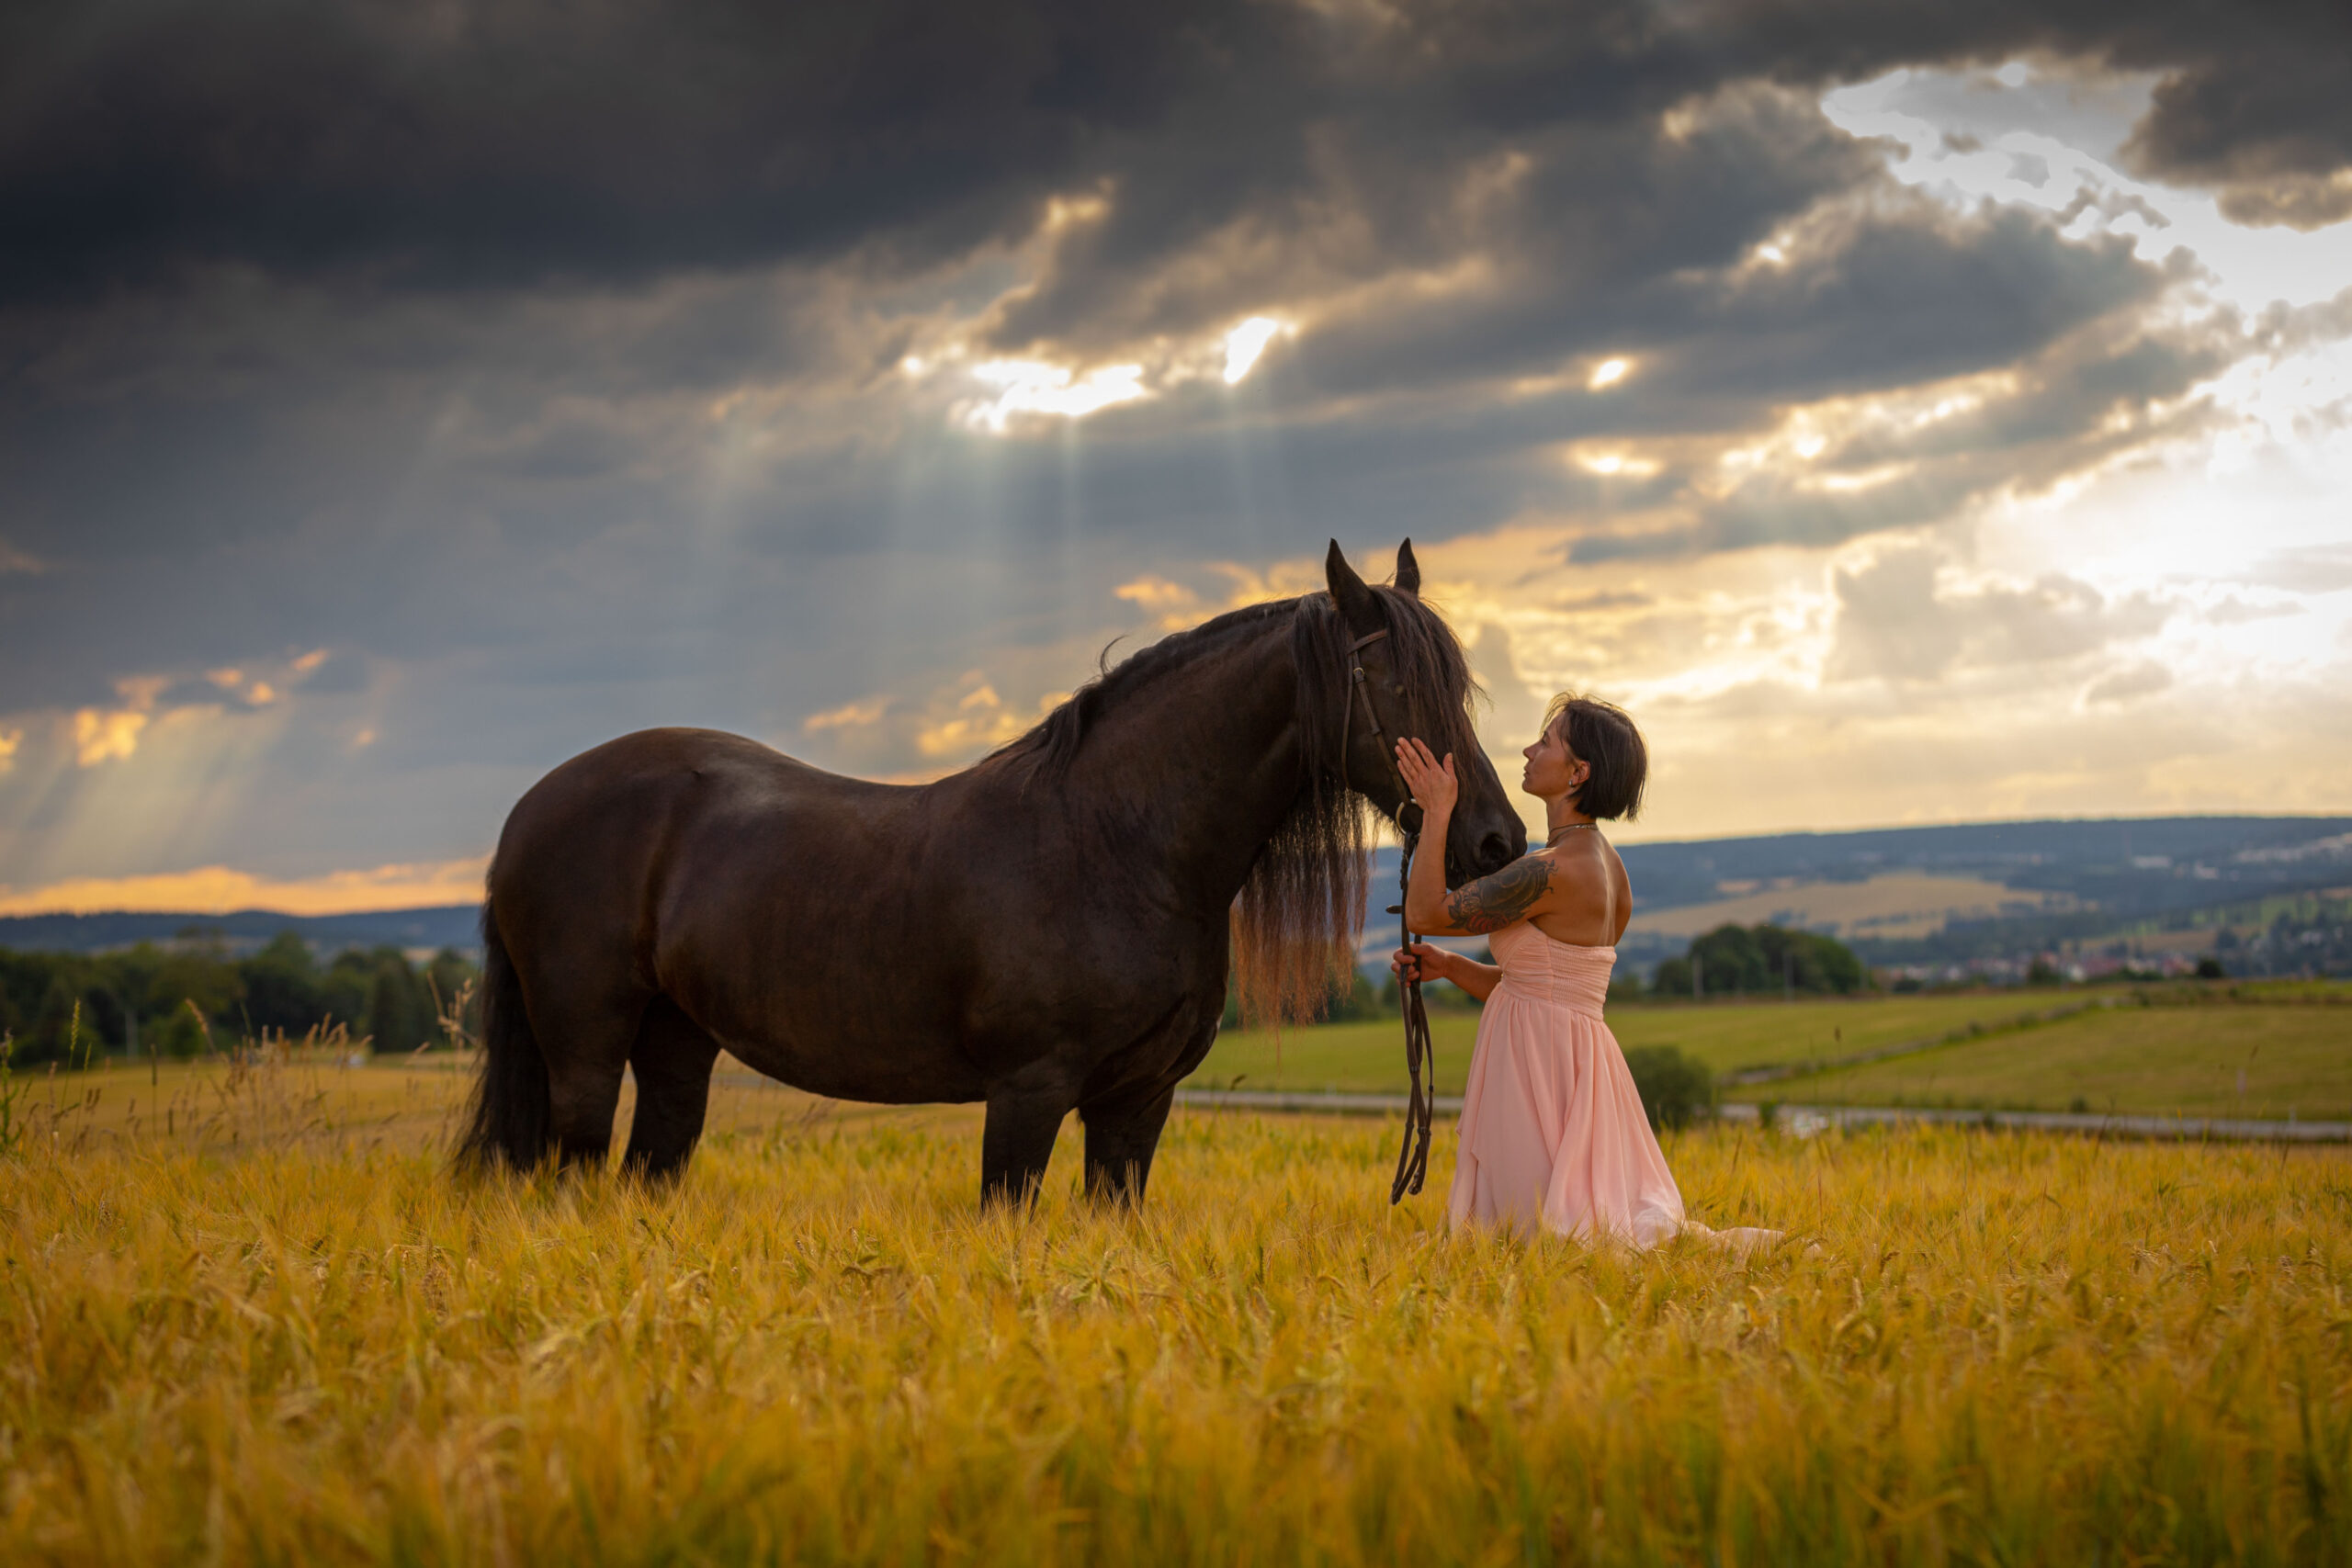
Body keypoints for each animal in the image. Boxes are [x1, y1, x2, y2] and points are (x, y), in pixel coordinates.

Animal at [456, 540, 1523, 1203]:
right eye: (1394, 682)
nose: (1494, 843)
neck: (1121, 848)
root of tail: (528, 813)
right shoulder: (1028, 1093)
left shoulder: (1135, 1105)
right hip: (584, 1056)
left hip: (678, 1046)